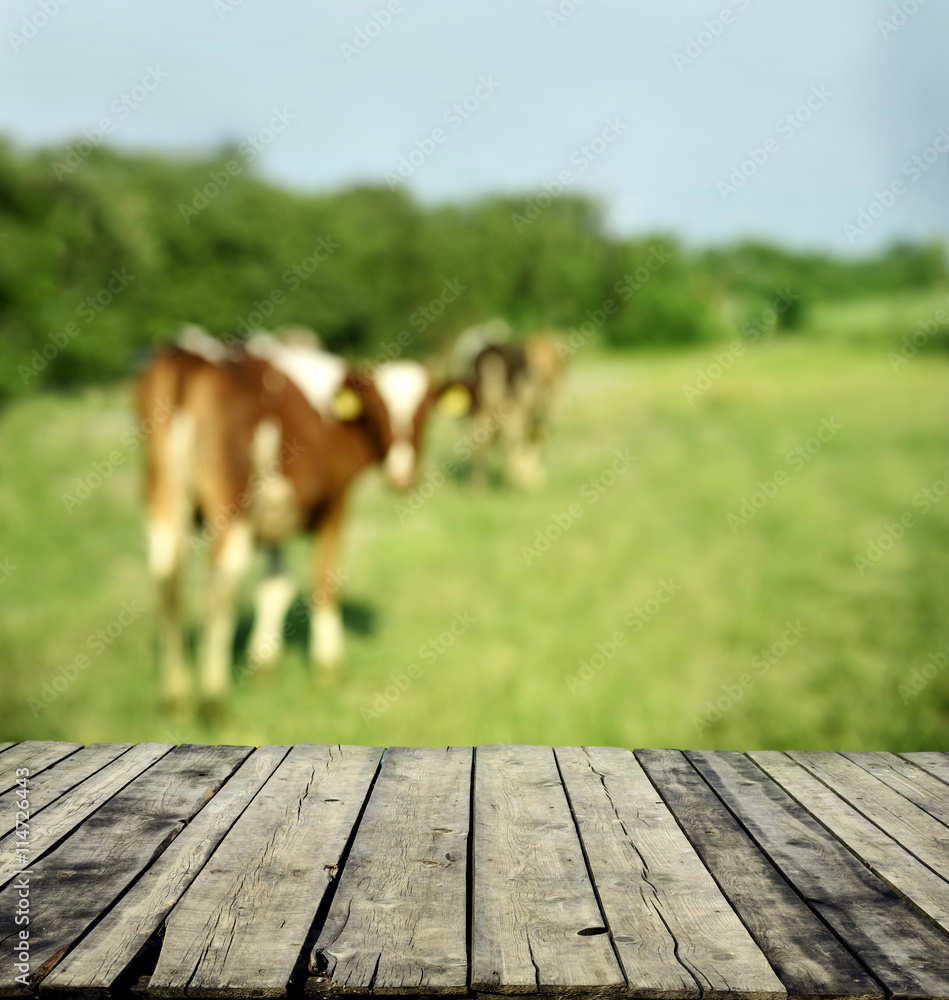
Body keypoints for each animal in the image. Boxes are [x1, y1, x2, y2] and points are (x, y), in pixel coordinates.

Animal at [137, 332, 444, 708]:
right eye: (376, 411)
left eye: (424, 411)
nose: (402, 476)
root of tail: (190, 356)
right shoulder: (334, 507)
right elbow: (324, 584)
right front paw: (328, 669)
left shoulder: (273, 522)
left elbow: (275, 587)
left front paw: (263, 666)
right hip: (230, 506)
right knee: (220, 588)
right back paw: (213, 698)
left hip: (163, 501)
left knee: (167, 582)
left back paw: (176, 695)